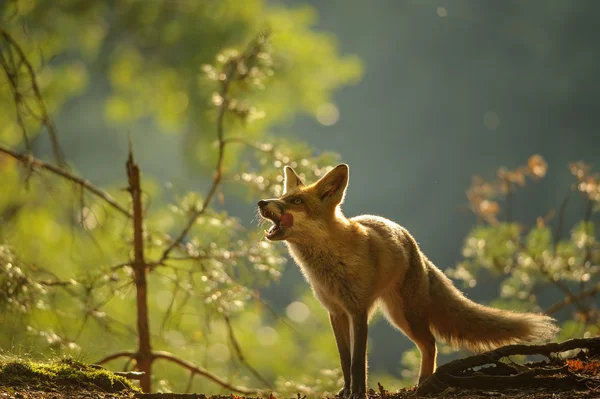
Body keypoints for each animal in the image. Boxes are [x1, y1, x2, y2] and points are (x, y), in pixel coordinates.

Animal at [256, 164, 556, 398]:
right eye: (282, 196)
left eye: (296, 202)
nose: (261, 203)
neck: (330, 262)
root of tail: (415, 246)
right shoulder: (336, 312)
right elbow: (344, 360)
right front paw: (345, 390)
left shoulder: (358, 310)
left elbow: (358, 362)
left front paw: (358, 392)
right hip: (399, 315)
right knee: (428, 343)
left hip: (404, 315)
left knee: (431, 343)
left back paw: (425, 383)